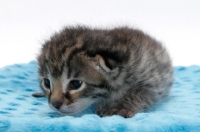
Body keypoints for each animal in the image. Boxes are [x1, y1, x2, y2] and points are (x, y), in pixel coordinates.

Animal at [32, 25, 173, 117]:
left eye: (76, 84)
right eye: (47, 83)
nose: (54, 104)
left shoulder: (154, 81)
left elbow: (139, 92)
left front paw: (120, 107)